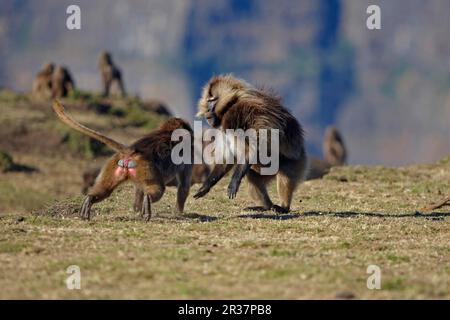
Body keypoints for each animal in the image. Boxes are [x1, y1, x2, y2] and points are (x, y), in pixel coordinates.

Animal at [52, 100, 193, 220]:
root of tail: (130, 151)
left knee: (106, 190)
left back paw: (89, 200)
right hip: (146, 168)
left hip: (119, 165)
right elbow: (184, 186)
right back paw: (147, 203)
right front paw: (179, 213)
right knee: (158, 189)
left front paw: (137, 210)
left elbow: (139, 189)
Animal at [195, 75, 308, 214]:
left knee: (285, 176)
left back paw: (283, 208)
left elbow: (256, 146)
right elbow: (228, 158)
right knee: (252, 177)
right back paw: (266, 207)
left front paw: (233, 183)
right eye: (208, 101)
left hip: (294, 163)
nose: (207, 111)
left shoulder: (243, 112)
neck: (230, 105)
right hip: (263, 170)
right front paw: (205, 187)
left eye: (212, 101)